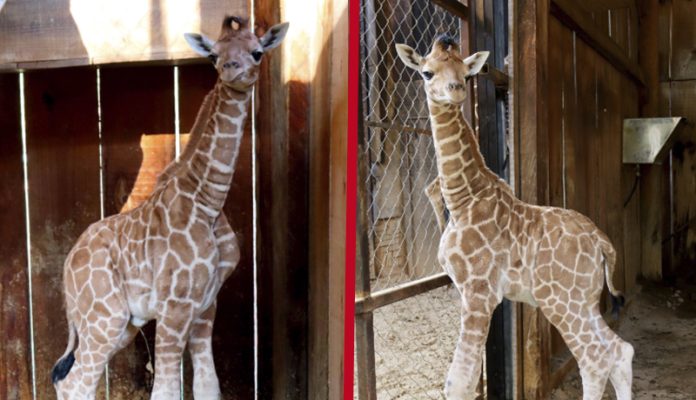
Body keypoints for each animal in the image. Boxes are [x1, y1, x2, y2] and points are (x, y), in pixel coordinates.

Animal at [50, 16, 289, 400]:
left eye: (257, 52)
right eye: (214, 55)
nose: (231, 70)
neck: (208, 201)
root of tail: (67, 267)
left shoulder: (207, 303)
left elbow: (207, 385)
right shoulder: (174, 304)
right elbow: (165, 390)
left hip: (118, 325)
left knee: (66, 377)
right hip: (104, 317)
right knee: (76, 382)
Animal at [396, 36, 633, 400]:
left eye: (465, 74)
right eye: (426, 72)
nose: (455, 91)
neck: (463, 198)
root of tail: (602, 242)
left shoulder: (479, 291)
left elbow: (460, 381)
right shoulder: (471, 292)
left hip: (559, 300)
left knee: (595, 358)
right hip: (585, 299)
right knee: (619, 350)